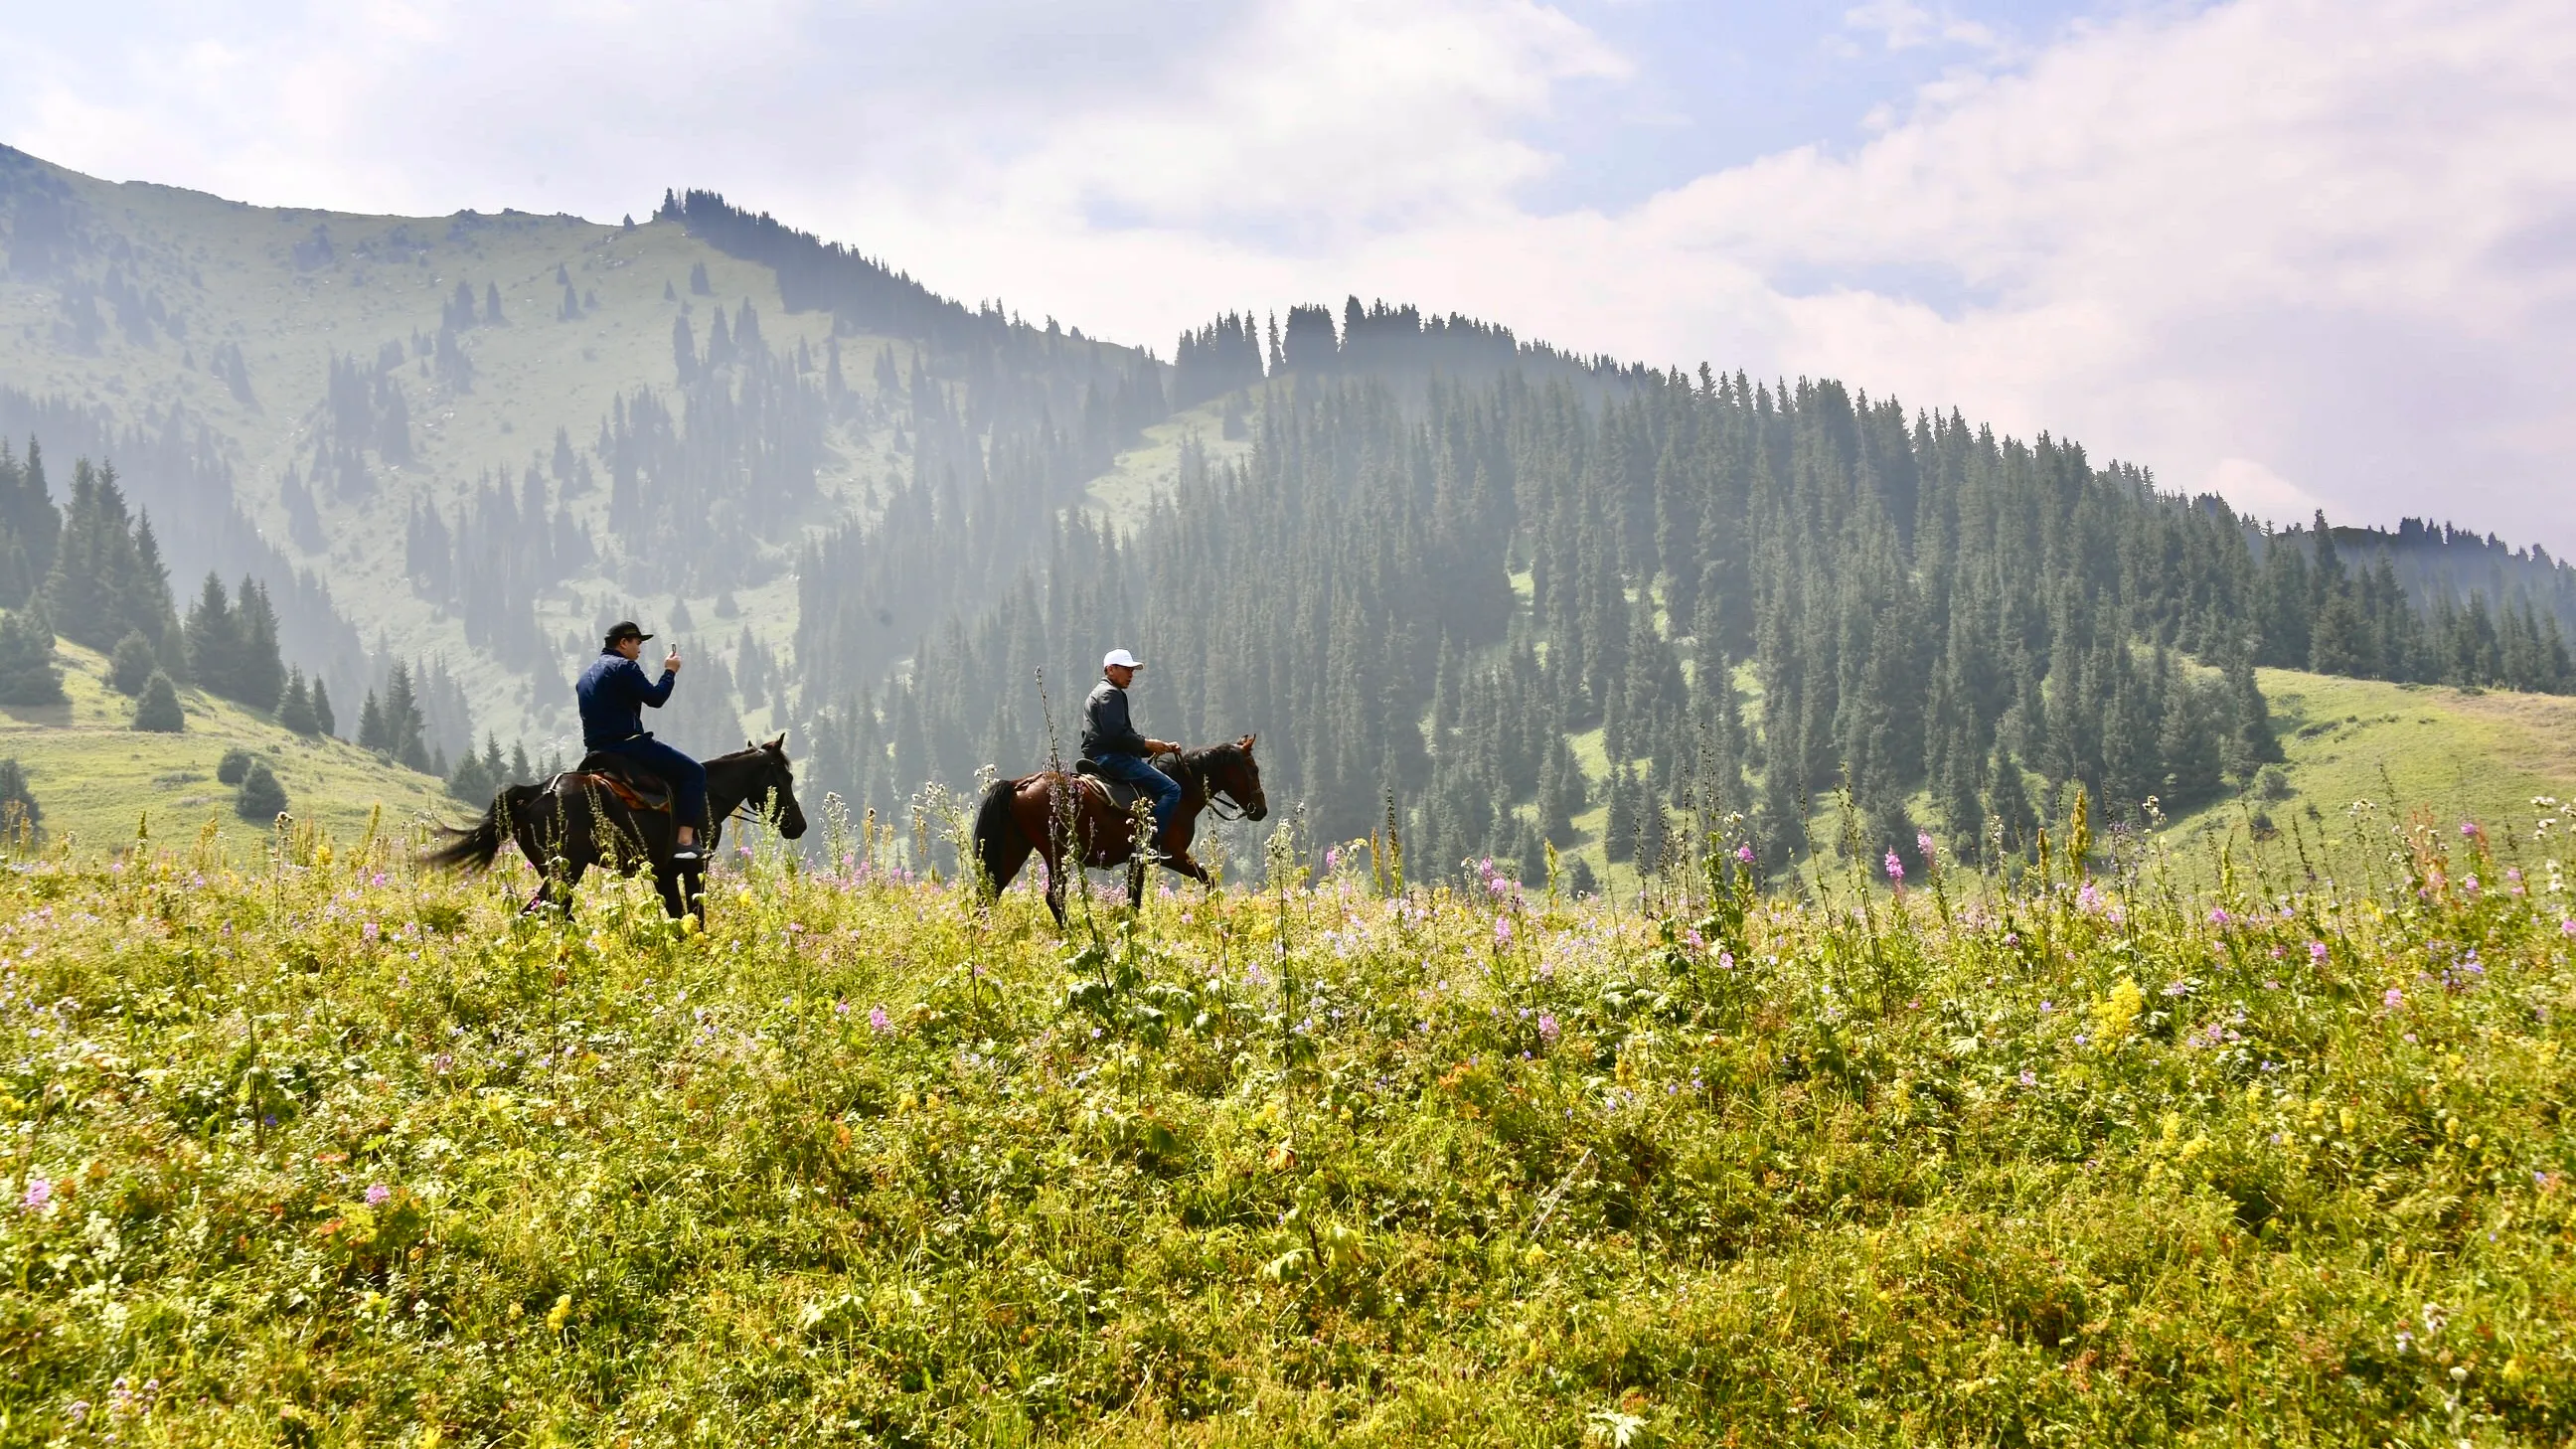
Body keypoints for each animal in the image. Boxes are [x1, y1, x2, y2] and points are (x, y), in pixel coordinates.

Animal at [424, 735, 808, 922]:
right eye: (786, 777)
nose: (799, 826)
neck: (707, 794)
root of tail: (537, 792)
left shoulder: (663, 873)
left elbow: (677, 917)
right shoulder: (693, 866)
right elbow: (694, 915)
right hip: (566, 869)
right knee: (543, 911)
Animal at [971, 735, 1268, 925]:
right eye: (1253, 769)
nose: (1261, 810)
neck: (1183, 791)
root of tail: (1019, 785)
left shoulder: (1138, 861)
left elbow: (1132, 899)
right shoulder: (1172, 854)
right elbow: (1208, 880)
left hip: (1013, 850)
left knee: (990, 892)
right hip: (1057, 854)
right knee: (1054, 897)